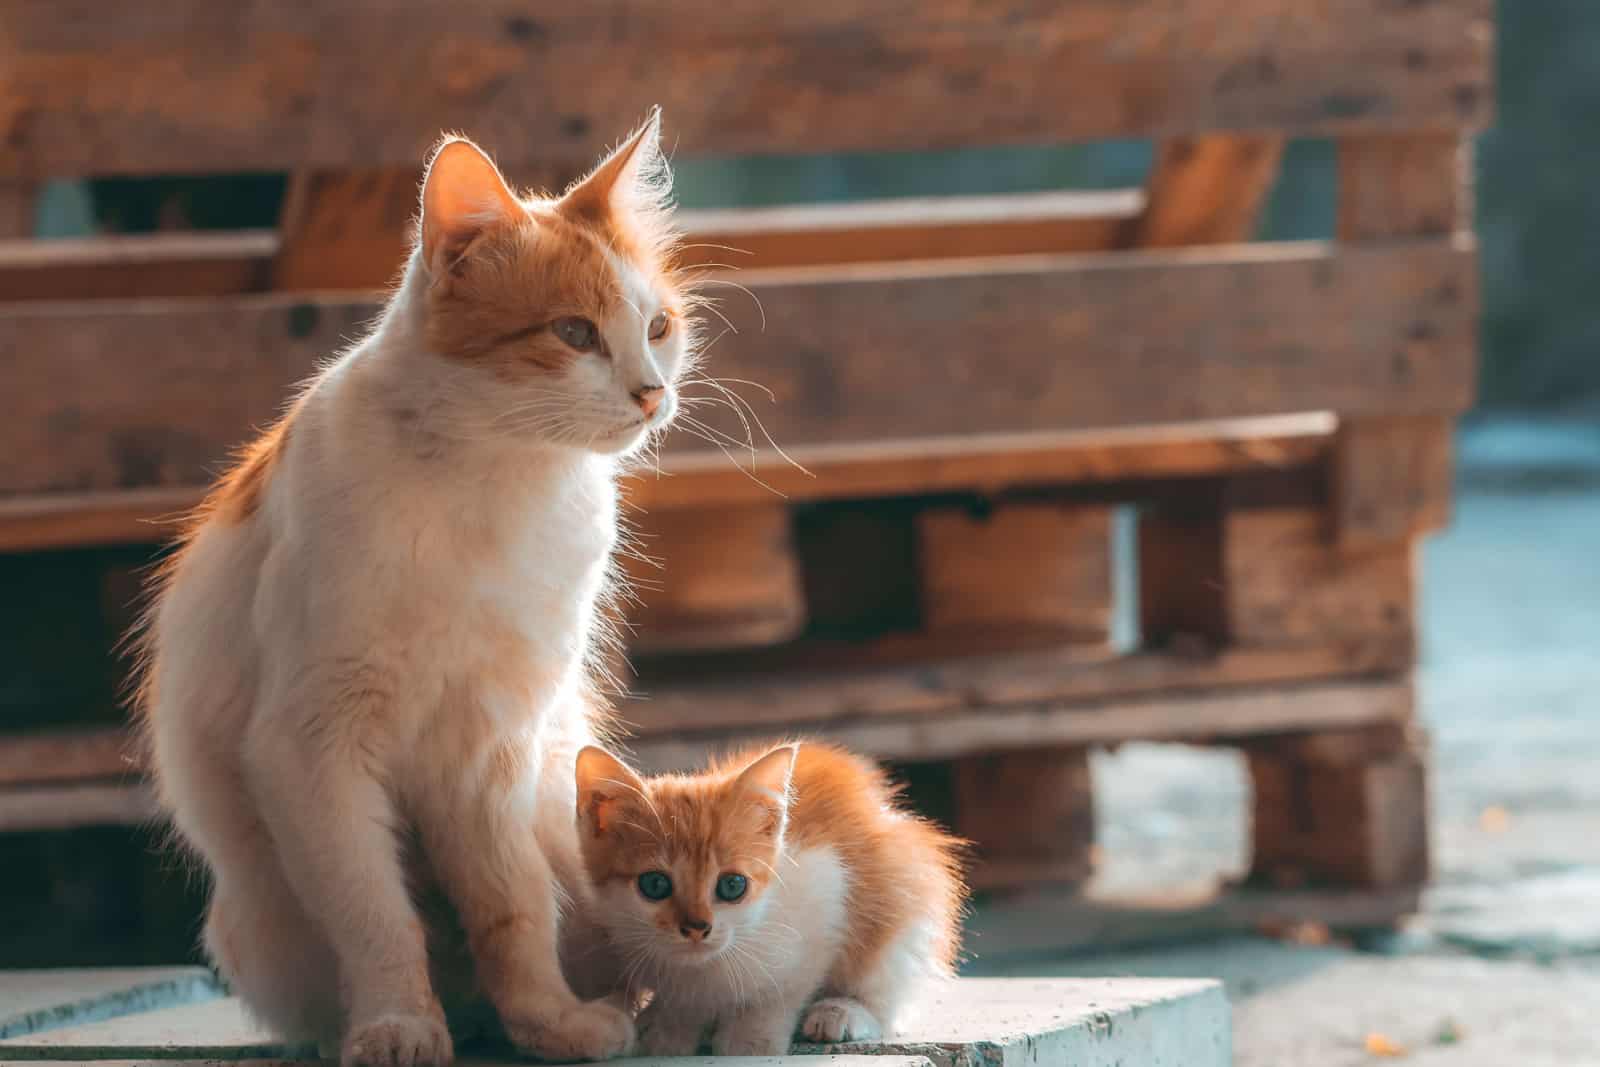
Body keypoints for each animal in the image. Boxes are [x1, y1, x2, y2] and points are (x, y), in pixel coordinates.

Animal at [140, 110, 704, 1067]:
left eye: (659, 326)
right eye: (574, 334)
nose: (651, 393)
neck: (493, 481)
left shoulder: (491, 750)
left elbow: (513, 906)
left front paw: (548, 1021)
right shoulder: (314, 746)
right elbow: (377, 918)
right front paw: (398, 1023)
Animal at [579, 742, 966, 1049]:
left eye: (732, 885)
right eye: (655, 885)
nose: (697, 927)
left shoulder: (824, 897)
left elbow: (784, 989)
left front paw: (750, 1039)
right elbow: (684, 1005)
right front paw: (669, 1029)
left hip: (905, 895)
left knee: (886, 983)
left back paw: (843, 1011)